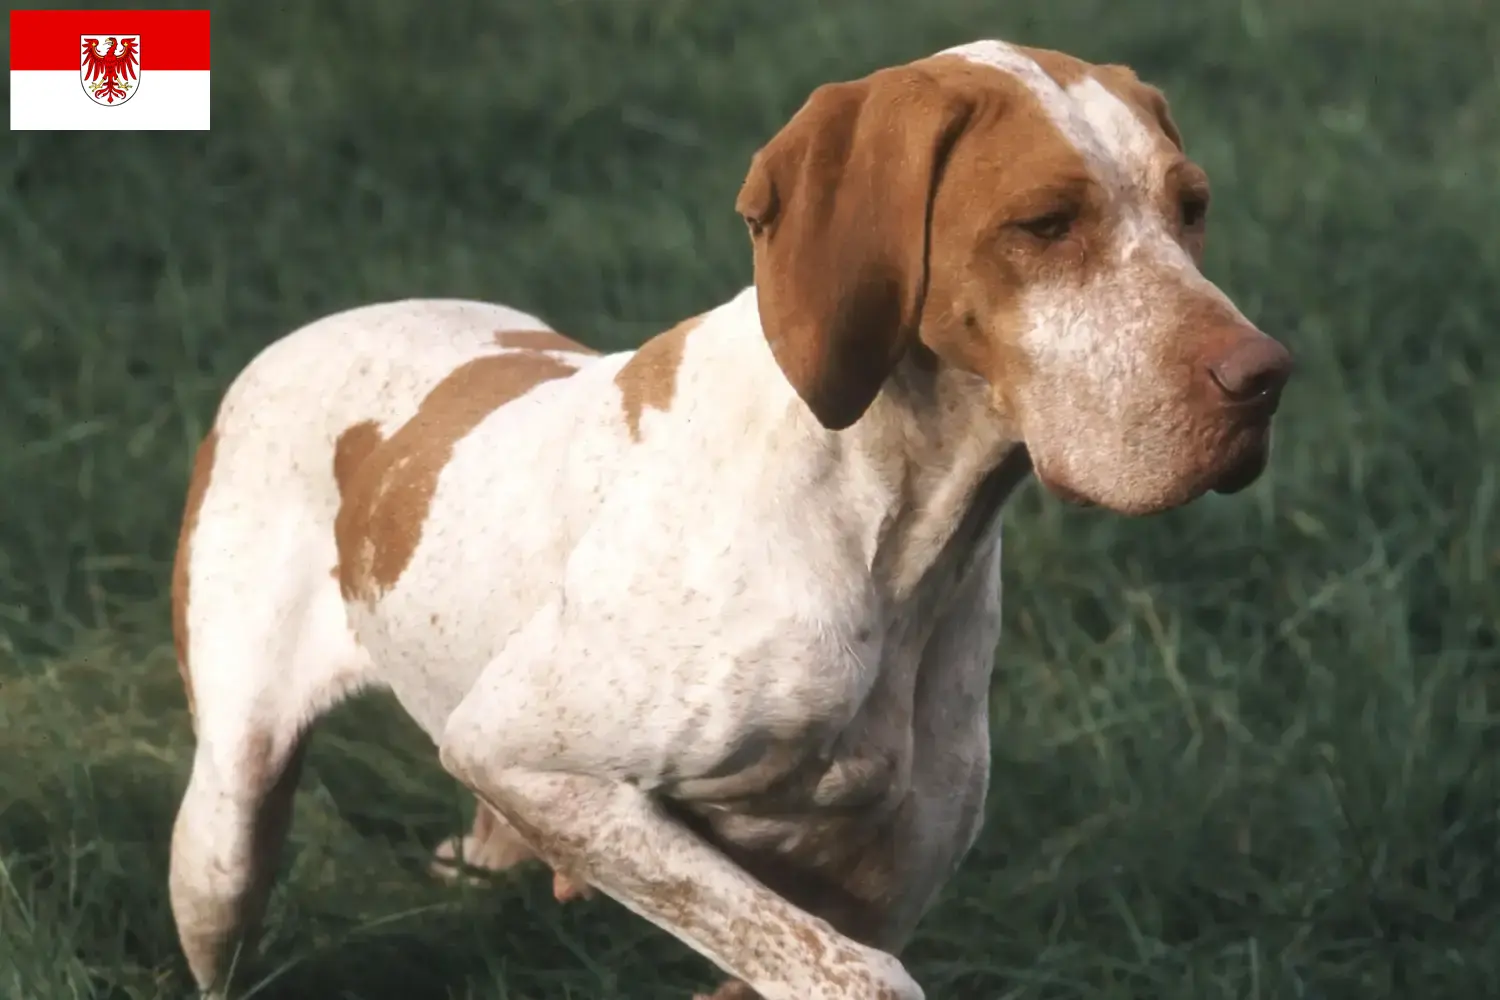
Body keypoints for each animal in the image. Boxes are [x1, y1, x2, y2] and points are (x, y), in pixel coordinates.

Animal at [167, 37, 1290, 1000]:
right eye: (1046, 223)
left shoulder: (881, 877)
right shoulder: (526, 754)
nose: (1266, 378)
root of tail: (299, 335)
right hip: (223, 845)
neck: (885, 527)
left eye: (1191, 208)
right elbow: (858, 972)